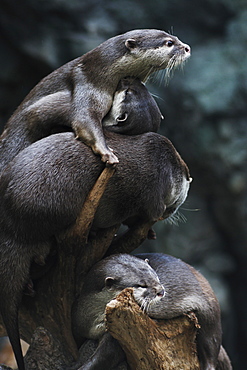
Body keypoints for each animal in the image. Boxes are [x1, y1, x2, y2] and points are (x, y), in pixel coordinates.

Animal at [0, 28, 191, 172]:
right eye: (169, 43)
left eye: (176, 38)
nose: (187, 47)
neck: (100, 73)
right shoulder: (86, 82)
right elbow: (84, 120)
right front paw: (107, 152)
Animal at [0, 129, 191, 370]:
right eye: (175, 202)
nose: (172, 211)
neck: (163, 164)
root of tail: (10, 223)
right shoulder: (155, 195)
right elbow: (145, 214)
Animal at [71, 253, 232, 370]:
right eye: (141, 285)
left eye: (156, 276)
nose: (161, 291)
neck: (91, 320)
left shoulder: (116, 331)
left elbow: (106, 356)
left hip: (210, 312)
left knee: (211, 343)